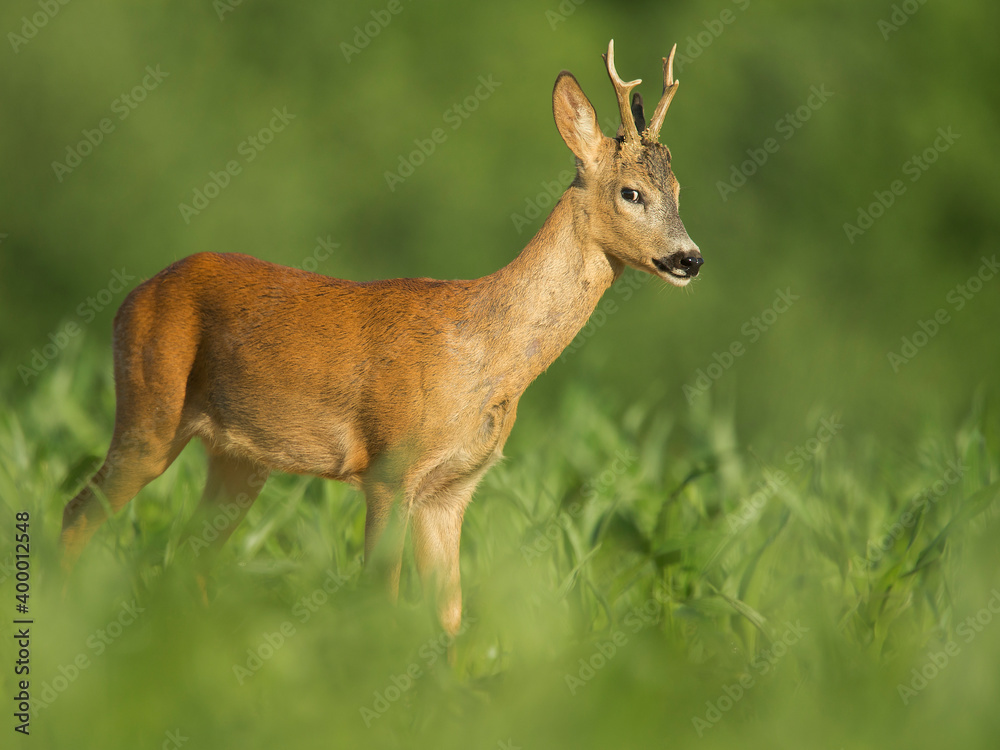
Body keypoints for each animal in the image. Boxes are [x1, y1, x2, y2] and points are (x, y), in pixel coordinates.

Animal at [61, 40, 702, 636]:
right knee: (78, 511)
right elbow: (381, 600)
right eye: (631, 192)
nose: (689, 259)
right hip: (150, 410)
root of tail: (131, 296)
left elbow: (450, 617)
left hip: (238, 457)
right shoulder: (389, 468)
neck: (485, 355)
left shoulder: (452, 488)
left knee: (185, 555)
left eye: (679, 191)